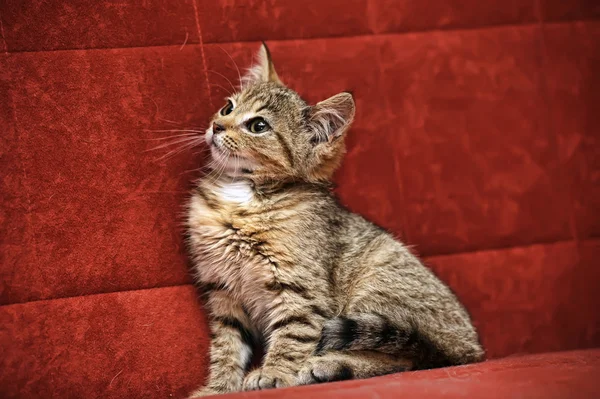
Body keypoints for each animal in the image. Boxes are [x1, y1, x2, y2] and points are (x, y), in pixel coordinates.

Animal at [188, 42, 482, 398]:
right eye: (227, 107)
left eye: (258, 126)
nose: (217, 126)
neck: (244, 194)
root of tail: (471, 348)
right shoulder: (223, 292)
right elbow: (227, 345)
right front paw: (218, 387)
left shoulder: (300, 292)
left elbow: (292, 334)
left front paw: (274, 372)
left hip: (376, 287)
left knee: (402, 358)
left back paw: (327, 365)